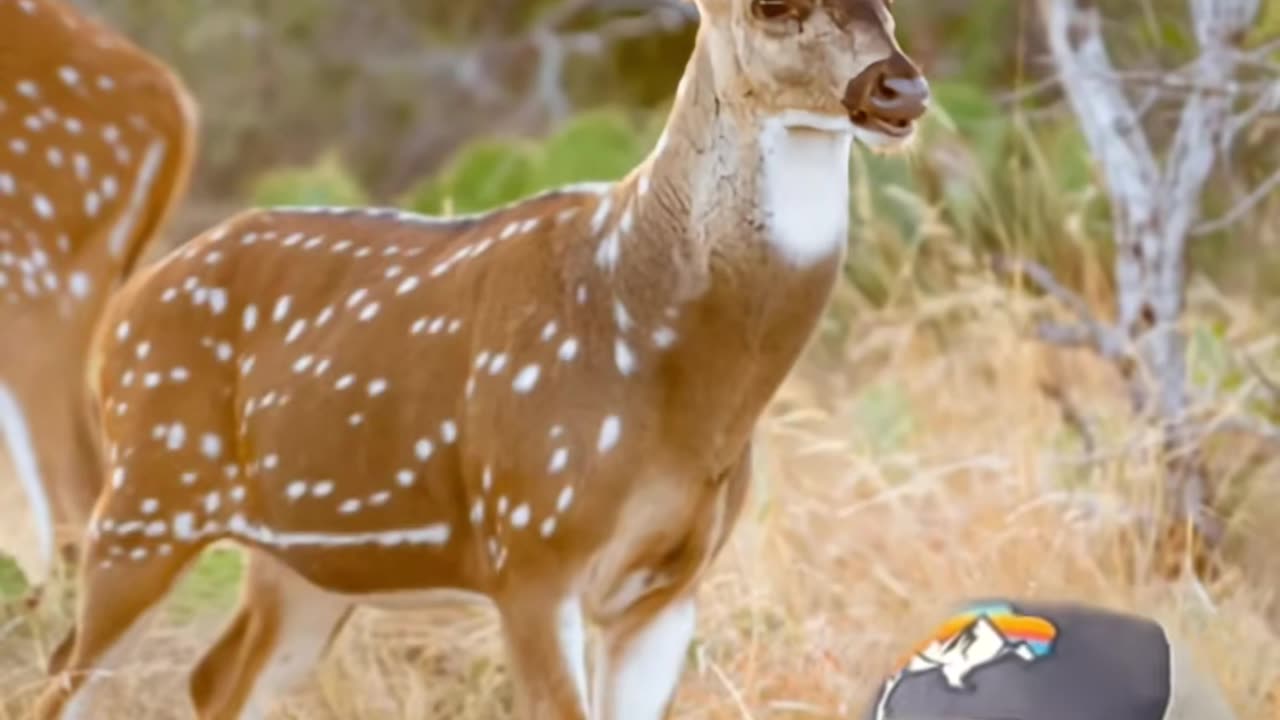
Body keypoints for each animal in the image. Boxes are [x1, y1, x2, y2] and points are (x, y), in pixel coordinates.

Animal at [34, 0, 928, 717]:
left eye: (887, 1)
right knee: (62, 675)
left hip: (303, 563)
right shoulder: (531, 546)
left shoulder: (669, 588)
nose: (901, 88)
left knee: (217, 677)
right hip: (149, 494)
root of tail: (122, 311)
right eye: (774, 7)